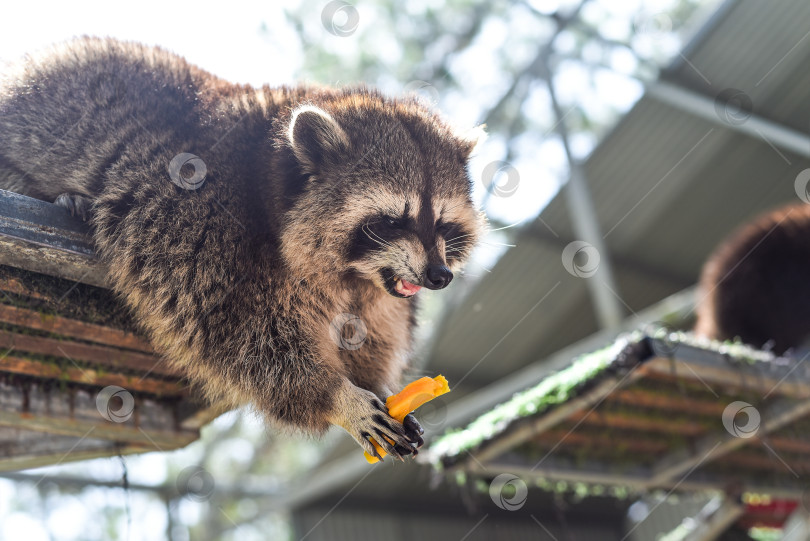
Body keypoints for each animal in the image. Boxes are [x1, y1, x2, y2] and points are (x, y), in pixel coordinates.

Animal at [0, 39, 480, 460]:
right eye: (392, 221)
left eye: (442, 224)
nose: (440, 277)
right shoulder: (200, 224)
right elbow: (236, 334)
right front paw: (336, 396)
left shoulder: (382, 291)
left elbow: (372, 331)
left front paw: (376, 384)